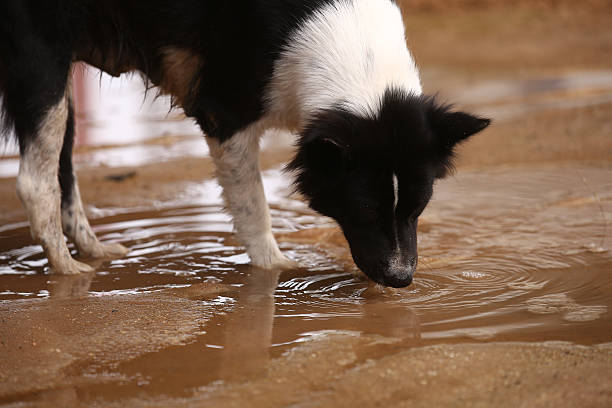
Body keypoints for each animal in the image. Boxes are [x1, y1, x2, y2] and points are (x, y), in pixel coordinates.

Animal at [0, 0, 488, 286]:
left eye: (418, 208)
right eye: (366, 209)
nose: (403, 281)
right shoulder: (225, 116)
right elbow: (253, 206)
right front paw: (279, 272)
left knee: (62, 171)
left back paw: (94, 251)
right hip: (44, 59)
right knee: (34, 182)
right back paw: (67, 271)